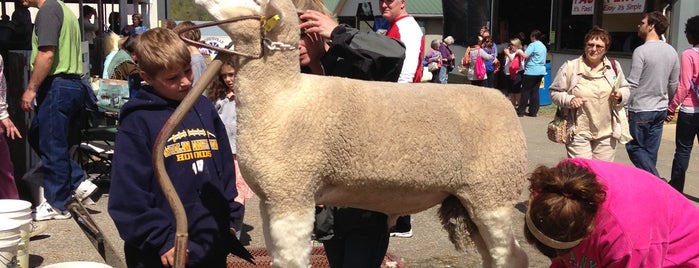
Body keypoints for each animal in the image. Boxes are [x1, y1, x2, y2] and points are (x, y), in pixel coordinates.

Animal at [191, 0, 532, 266]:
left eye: (253, 0)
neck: (281, 96)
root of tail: (501, 100)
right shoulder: (270, 199)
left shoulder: (293, 194)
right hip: (470, 197)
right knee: (495, 256)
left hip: (493, 192)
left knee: (513, 257)